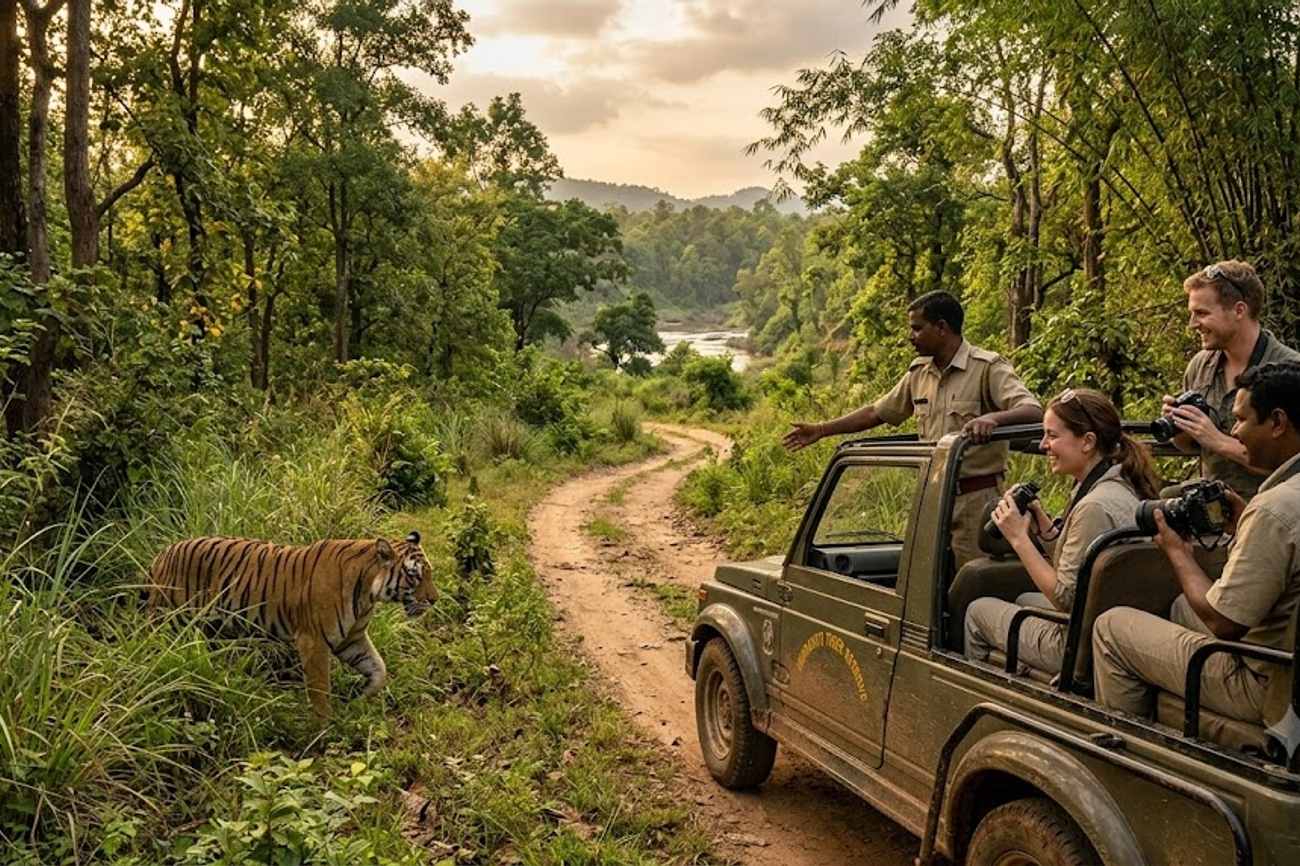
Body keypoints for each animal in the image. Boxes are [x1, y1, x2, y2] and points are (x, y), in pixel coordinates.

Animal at [148, 530, 436, 718]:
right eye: (414, 575)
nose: (435, 600)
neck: (368, 593)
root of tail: (162, 554)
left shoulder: (351, 639)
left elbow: (379, 669)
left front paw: (359, 699)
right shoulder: (313, 641)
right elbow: (320, 690)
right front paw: (325, 729)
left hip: (212, 626)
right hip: (170, 620)